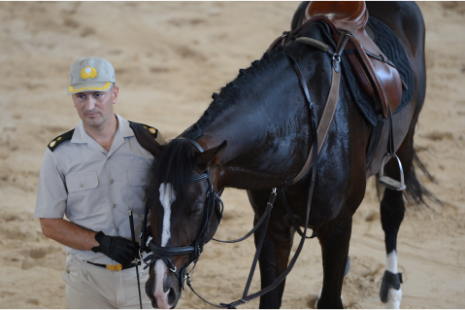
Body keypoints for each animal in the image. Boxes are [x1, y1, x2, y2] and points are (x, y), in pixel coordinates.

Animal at [140, 1, 428, 308]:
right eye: (148, 200)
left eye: (195, 208)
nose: (160, 290)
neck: (303, 133)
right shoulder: (272, 228)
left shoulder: (337, 227)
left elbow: (331, 298)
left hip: (405, 141)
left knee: (392, 211)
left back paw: (393, 286)